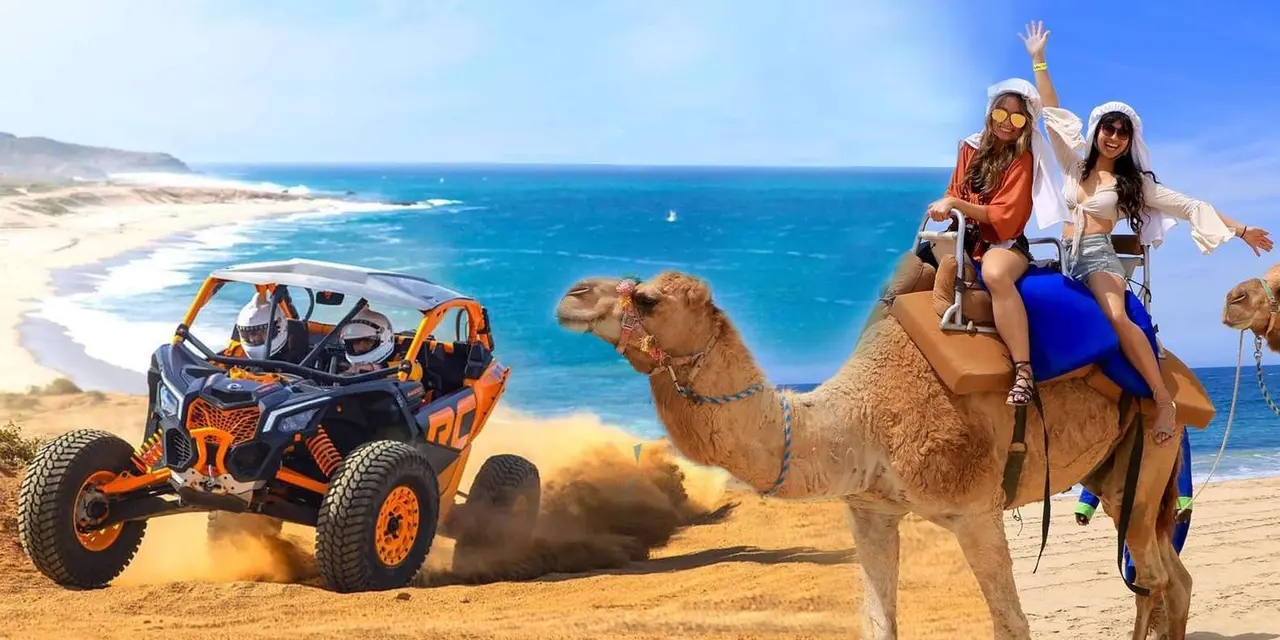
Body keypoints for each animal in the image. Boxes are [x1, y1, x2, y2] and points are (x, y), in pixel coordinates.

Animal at [553, 250, 1211, 640]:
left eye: (646, 299)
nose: (572, 294)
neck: (861, 418)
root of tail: (1173, 364)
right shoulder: (869, 510)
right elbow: (877, 622)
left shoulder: (975, 510)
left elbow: (1010, 623)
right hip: (1118, 473)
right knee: (1173, 577)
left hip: (1152, 445)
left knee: (1152, 577)